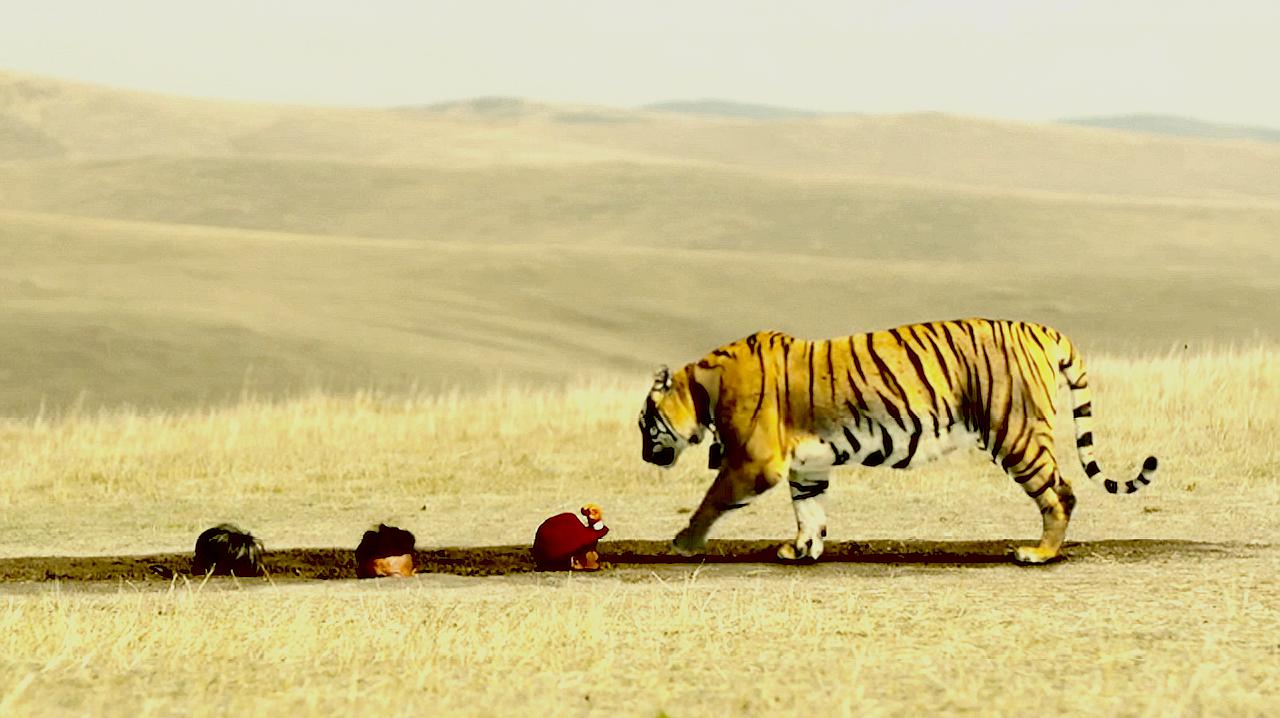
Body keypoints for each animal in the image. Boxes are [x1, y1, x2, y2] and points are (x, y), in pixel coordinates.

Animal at [640, 316, 1162, 563]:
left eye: (645, 423)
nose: (645, 455)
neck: (702, 388)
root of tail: (1041, 329)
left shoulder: (752, 462)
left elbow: (711, 501)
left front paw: (683, 543)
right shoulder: (808, 466)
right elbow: (809, 511)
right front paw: (802, 551)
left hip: (1015, 435)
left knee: (1061, 494)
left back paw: (1038, 554)